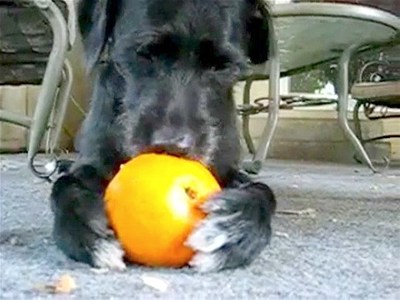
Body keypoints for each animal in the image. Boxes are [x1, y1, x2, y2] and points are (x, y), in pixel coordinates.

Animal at [50, 0, 276, 272]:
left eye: (222, 66)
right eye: (145, 53)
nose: (173, 146)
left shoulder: (231, 171)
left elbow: (263, 190)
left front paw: (237, 226)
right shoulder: (92, 164)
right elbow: (64, 187)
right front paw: (87, 226)